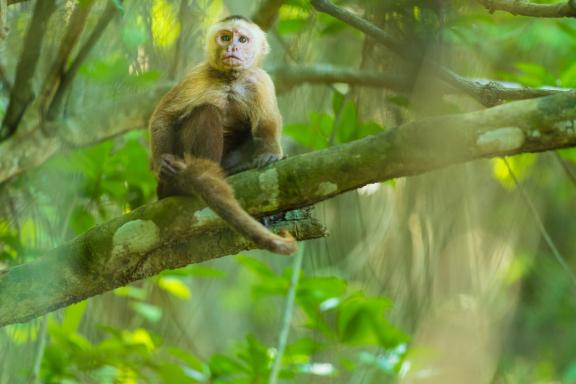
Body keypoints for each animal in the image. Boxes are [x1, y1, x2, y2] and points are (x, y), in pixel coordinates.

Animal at [148, 14, 296, 255]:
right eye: (225, 37)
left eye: (243, 40)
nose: (232, 47)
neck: (231, 79)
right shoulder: (196, 75)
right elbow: (164, 117)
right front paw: (162, 163)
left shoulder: (260, 80)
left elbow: (266, 125)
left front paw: (270, 154)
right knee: (206, 111)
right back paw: (182, 182)